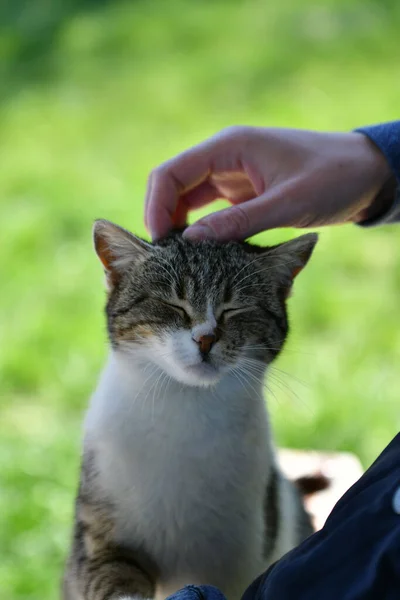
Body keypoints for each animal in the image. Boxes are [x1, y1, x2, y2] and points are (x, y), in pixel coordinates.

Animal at [63, 219, 318, 600]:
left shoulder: (245, 562)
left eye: (235, 309)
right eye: (173, 304)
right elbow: (114, 577)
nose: (206, 338)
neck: (185, 404)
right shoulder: (98, 541)